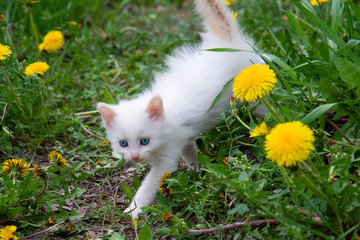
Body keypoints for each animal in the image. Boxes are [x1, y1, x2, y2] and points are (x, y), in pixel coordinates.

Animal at [97, 0, 264, 218]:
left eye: (144, 141)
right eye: (123, 143)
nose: (134, 156)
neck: (165, 117)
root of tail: (226, 41)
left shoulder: (166, 160)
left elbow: (149, 185)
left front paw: (134, 209)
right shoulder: (182, 139)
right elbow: (191, 153)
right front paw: (197, 172)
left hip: (252, 96)